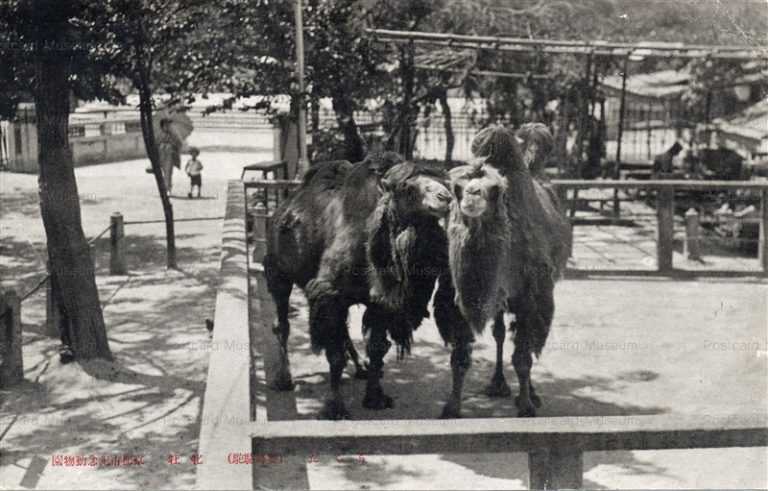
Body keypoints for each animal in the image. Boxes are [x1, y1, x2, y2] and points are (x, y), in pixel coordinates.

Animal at [262, 154, 462, 418]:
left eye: (444, 183)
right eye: (407, 188)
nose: (444, 197)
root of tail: (282, 210)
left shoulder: (381, 301)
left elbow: (376, 348)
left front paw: (375, 397)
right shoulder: (329, 292)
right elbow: (334, 353)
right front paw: (334, 407)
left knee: (344, 331)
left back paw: (360, 368)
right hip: (278, 272)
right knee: (282, 324)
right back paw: (283, 379)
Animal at [438, 125, 568, 418]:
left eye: (494, 189)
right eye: (457, 187)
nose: (472, 196)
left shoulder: (531, 298)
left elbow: (522, 358)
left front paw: (527, 406)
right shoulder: (458, 300)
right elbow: (459, 358)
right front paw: (451, 407)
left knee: (524, 344)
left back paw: (530, 393)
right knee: (498, 332)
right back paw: (497, 384)